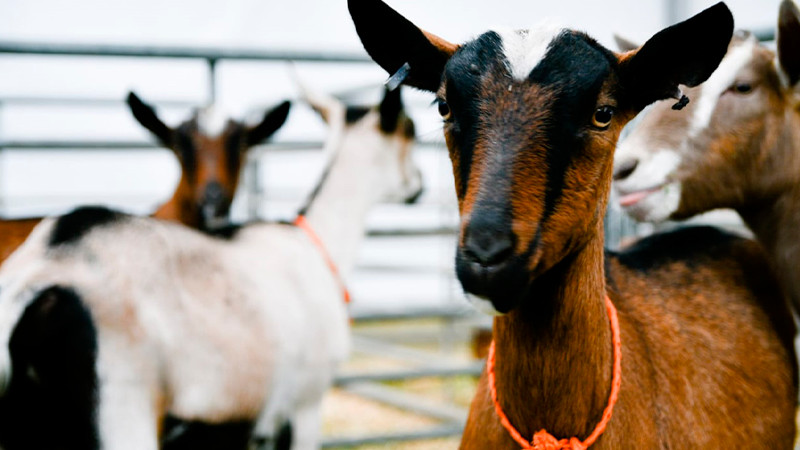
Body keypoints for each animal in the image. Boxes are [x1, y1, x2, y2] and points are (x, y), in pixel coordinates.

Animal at [0, 85, 424, 450]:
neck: (317, 241)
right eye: (411, 131)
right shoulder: (305, 406)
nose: (419, 185)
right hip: (122, 411)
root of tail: (32, 282)